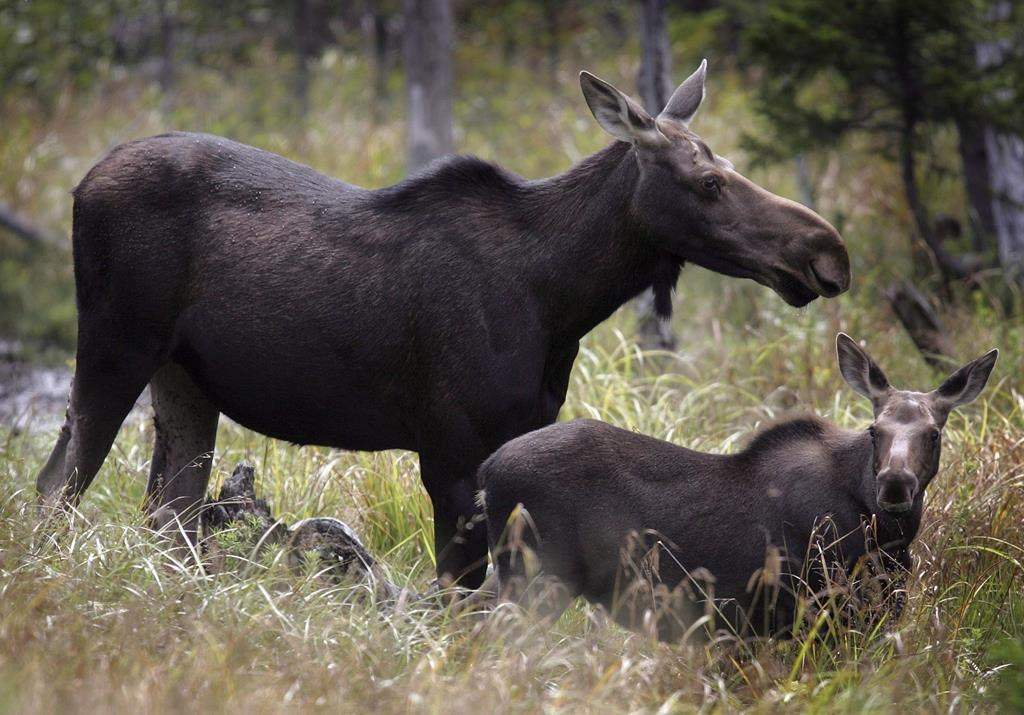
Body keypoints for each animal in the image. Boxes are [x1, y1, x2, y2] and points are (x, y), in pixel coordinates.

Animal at [35, 60, 849, 589]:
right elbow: (458, 594)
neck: (561, 297)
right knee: (57, 482)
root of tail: (79, 183)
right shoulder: (452, 450)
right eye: (709, 182)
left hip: (184, 380)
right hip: (113, 345)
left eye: (730, 165)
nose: (827, 252)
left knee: (166, 514)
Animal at [480, 334, 997, 637]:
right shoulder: (819, 609)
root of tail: (486, 473)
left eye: (934, 433)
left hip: (509, 572)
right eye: (875, 430)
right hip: (535, 577)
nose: (893, 484)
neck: (890, 539)